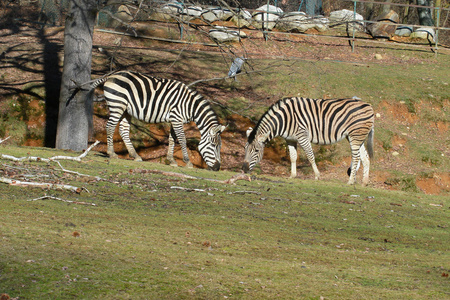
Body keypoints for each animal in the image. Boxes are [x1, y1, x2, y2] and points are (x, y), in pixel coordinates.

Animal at [91, 69, 227, 171]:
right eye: (213, 145)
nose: (217, 168)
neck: (189, 106)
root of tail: (112, 75)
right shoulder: (177, 118)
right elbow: (182, 139)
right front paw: (188, 162)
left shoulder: (174, 120)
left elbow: (172, 139)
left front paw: (171, 160)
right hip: (117, 104)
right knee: (110, 126)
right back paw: (111, 153)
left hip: (126, 110)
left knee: (123, 130)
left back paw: (135, 155)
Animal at [244, 97, 374, 185]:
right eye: (245, 149)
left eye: (256, 151)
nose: (243, 168)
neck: (284, 119)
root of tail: (368, 106)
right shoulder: (290, 139)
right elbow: (293, 157)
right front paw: (292, 175)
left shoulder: (302, 136)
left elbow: (310, 156)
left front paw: (317, 175)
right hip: (357, 136)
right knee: (365, 157)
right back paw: (364, 182)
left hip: (355, 135)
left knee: (356, 157)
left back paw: (351, 181)